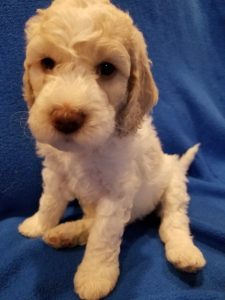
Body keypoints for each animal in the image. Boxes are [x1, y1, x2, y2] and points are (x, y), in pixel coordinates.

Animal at [18, 1, 206, 298]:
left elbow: (103, 238)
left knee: (173, 221)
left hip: (174, 187)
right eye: (47, 63)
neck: (85, 150)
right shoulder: (55, 171)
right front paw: (38, 224)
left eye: (107, 68)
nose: (66, 118)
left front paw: (95, 276)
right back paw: (65, 233)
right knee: (93, 220)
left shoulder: (117, 194)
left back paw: (183, 252)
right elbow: (49, 201)